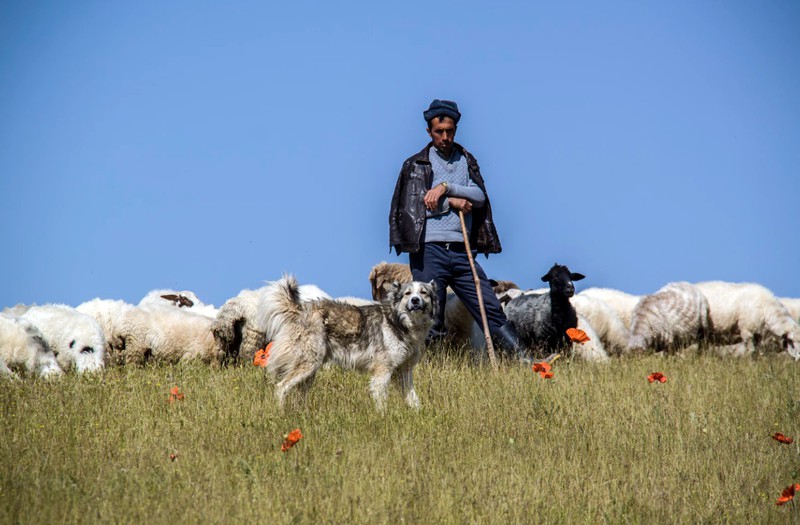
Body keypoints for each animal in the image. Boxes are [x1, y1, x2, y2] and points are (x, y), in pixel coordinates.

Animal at [262, 274, 438, 410]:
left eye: (423, 293)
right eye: (408, 293)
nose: (415, 300)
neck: (399, 322)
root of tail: (299, 309)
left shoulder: (404, 371)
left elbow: (413, 398)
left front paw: (419, 415)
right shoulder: (383, 370)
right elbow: (381, 399)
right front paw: (384, 417)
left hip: (310, 371)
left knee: (297, 393)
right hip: (308, 363)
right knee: (281, 388)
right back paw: (281, 414)